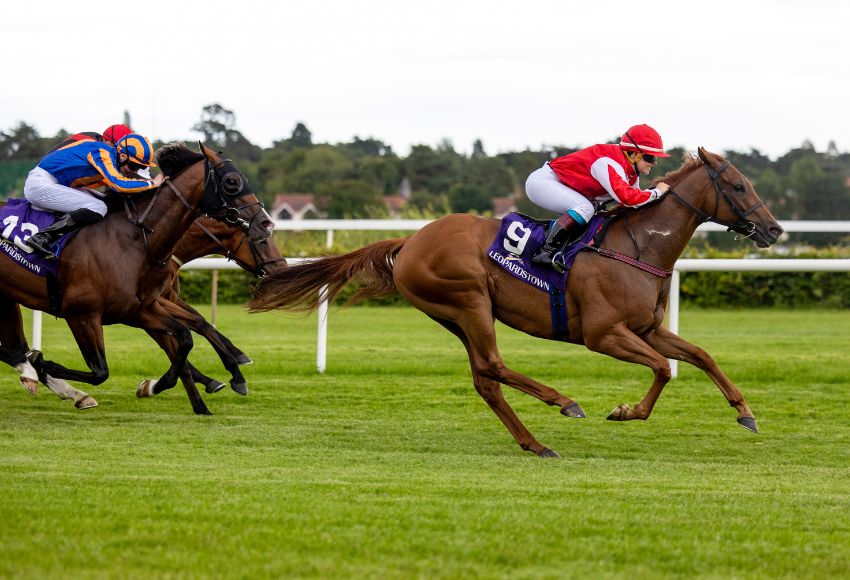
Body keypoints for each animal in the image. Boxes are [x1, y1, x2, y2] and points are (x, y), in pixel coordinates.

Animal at [0, 143, 272, 414]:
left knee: (15, 346)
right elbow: (100, 372)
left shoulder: (139, 309)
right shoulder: (81, 314)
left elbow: (186, 336)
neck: (135, 241)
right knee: (17, 350)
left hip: (8, 299)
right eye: (232, 182)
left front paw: (169, 388)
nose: (265, 223)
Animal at [250, 148, 780, 458]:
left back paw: (534, 442)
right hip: (469, 301)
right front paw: (625, 411)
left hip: (454, 314)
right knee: (494, 365)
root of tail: (411, 240)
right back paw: (563, 403)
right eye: (738, 186)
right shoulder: (603, 334)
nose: (774, 229)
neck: (636, 246)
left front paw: (745, 413)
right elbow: (662, 370)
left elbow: (700, 356)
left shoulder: (647, 328)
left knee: (486, 379)